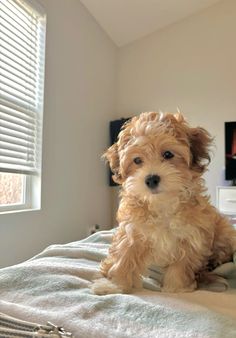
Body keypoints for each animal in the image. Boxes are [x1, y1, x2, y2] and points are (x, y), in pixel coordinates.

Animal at [92, 112, 236, 294]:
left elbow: (182, 264)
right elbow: (124, 256)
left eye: (168, 154)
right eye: (137, 160)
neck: (161, 203)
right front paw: (114, 285)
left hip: (222, 229)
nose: (152, 179)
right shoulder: (132, 231)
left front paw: (176, 288)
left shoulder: (192, 234)